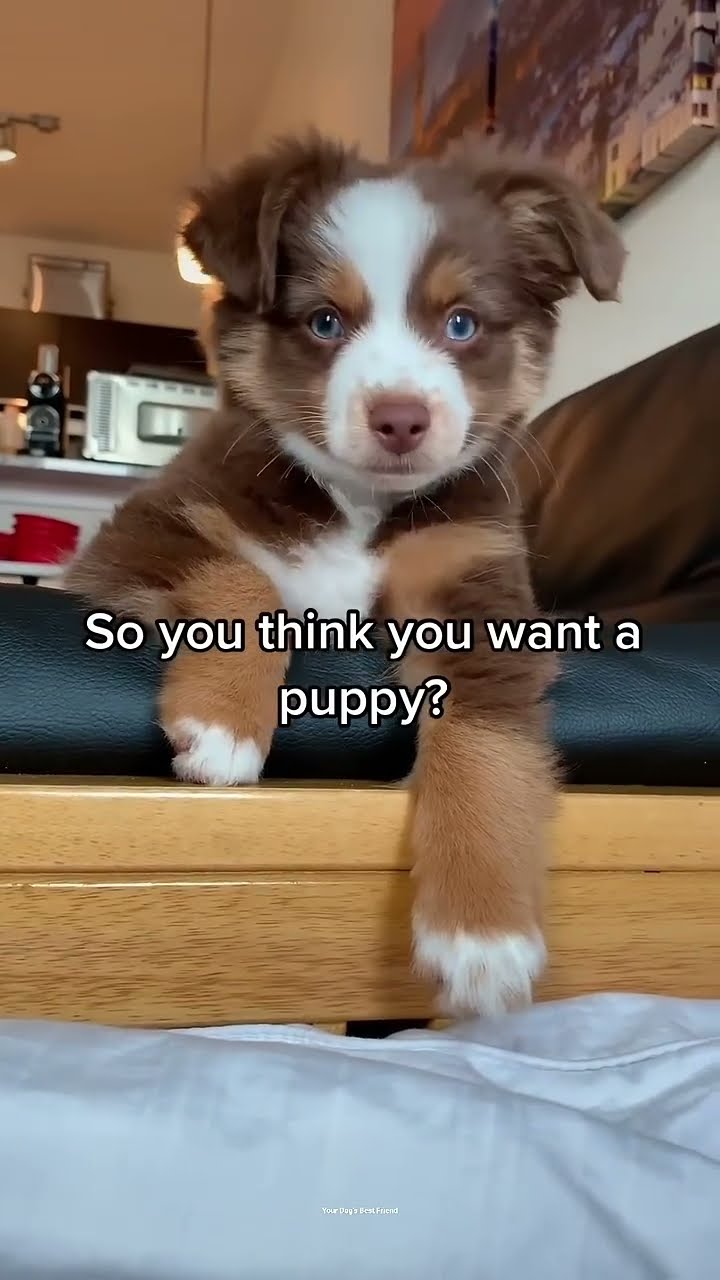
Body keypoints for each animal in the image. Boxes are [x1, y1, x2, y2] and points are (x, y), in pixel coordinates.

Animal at [67, 135, 622, 1013]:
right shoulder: (144, 530)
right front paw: (223, 727)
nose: (401, 419)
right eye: (325, 321)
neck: (361, 507)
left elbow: (487, 750)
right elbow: (246, 579)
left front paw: (482, 937)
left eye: (462, 323)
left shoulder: (477, 587)